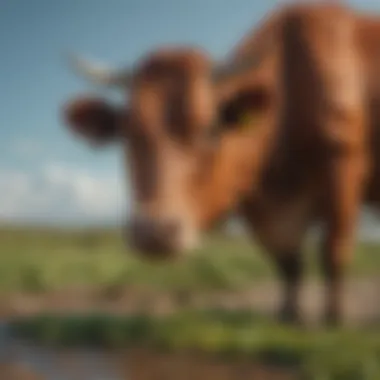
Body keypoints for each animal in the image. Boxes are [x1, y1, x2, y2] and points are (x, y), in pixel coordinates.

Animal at [61, 1, 380, 326]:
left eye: (209, 128)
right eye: (127, 132)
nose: (154, 232)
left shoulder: (343, 170)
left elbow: (334, 251)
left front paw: (334, 318)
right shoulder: (264, 210)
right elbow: (288, 262)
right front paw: (288, 314)